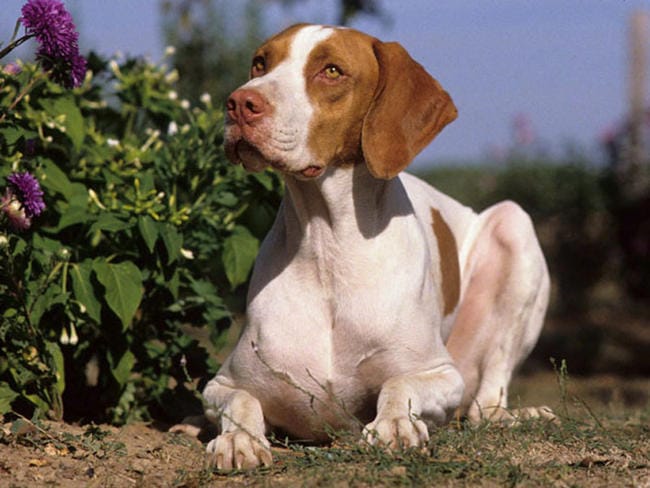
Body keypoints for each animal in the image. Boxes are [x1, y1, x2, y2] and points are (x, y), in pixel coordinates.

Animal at [202, 22, 552, 468]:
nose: (239, 103)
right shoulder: (222, 382)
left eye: (332, 71)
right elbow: (241, 400)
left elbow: (399, 384)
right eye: (260, 62)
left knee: (486, 403)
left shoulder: (441, 373)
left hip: (514, 224)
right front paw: (238, 439)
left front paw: (395, 424)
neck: (328, 247)